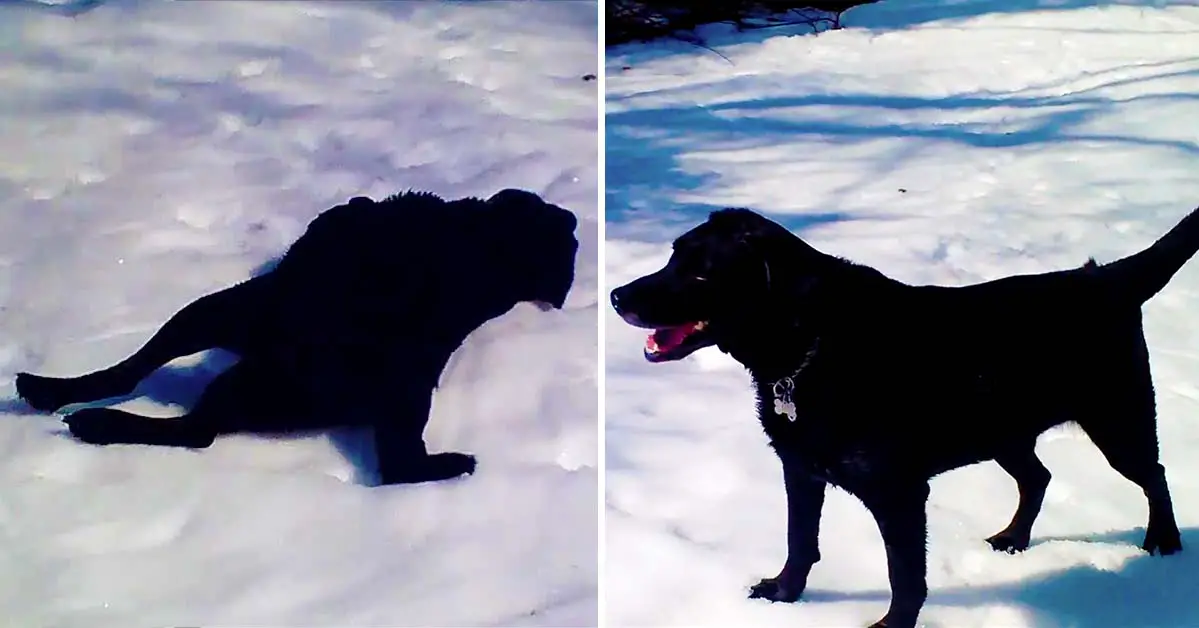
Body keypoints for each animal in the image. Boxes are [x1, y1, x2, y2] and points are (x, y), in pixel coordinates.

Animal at [16, 189, 577, 488]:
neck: (491, 246)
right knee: (134, 376)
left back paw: (91, 420)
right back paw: (48, 390)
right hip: (220, 317)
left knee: (192, 427)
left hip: (232, 330)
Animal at [613, 206, 1194, 628]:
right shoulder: (799, 469)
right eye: (671, 257)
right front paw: (783, 594)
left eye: (700, 272)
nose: (618, 295)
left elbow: (905, 575)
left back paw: (1163, 543)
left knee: (1154, 475)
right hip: (1004, 432)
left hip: (1119, 419)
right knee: (1039, 476)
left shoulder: (899, 492)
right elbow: (800, 542)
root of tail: (1105, 279)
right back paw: (1013, 539)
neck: (811, 346)